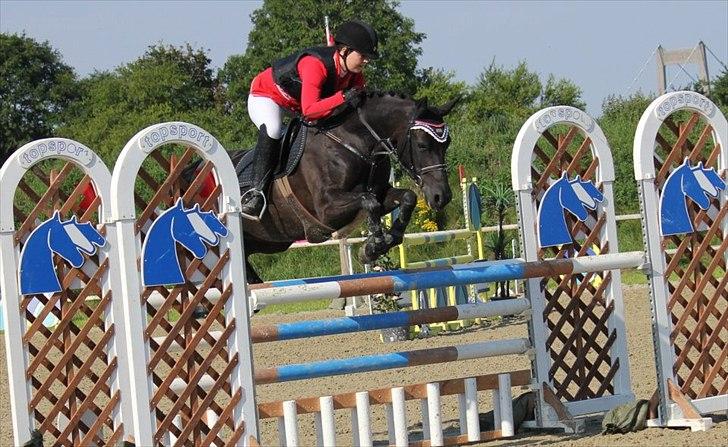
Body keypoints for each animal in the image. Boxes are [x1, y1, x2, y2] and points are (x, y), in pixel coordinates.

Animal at [197, 92, 458, 284]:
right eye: (422, 145)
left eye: (447, 144)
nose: (441, 197)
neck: (354, 142)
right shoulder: (326, 210)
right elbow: (369, 202)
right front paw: (374, 246)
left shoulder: (380, 192)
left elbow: (407, 197)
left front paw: (381, 243)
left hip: (267, 242)